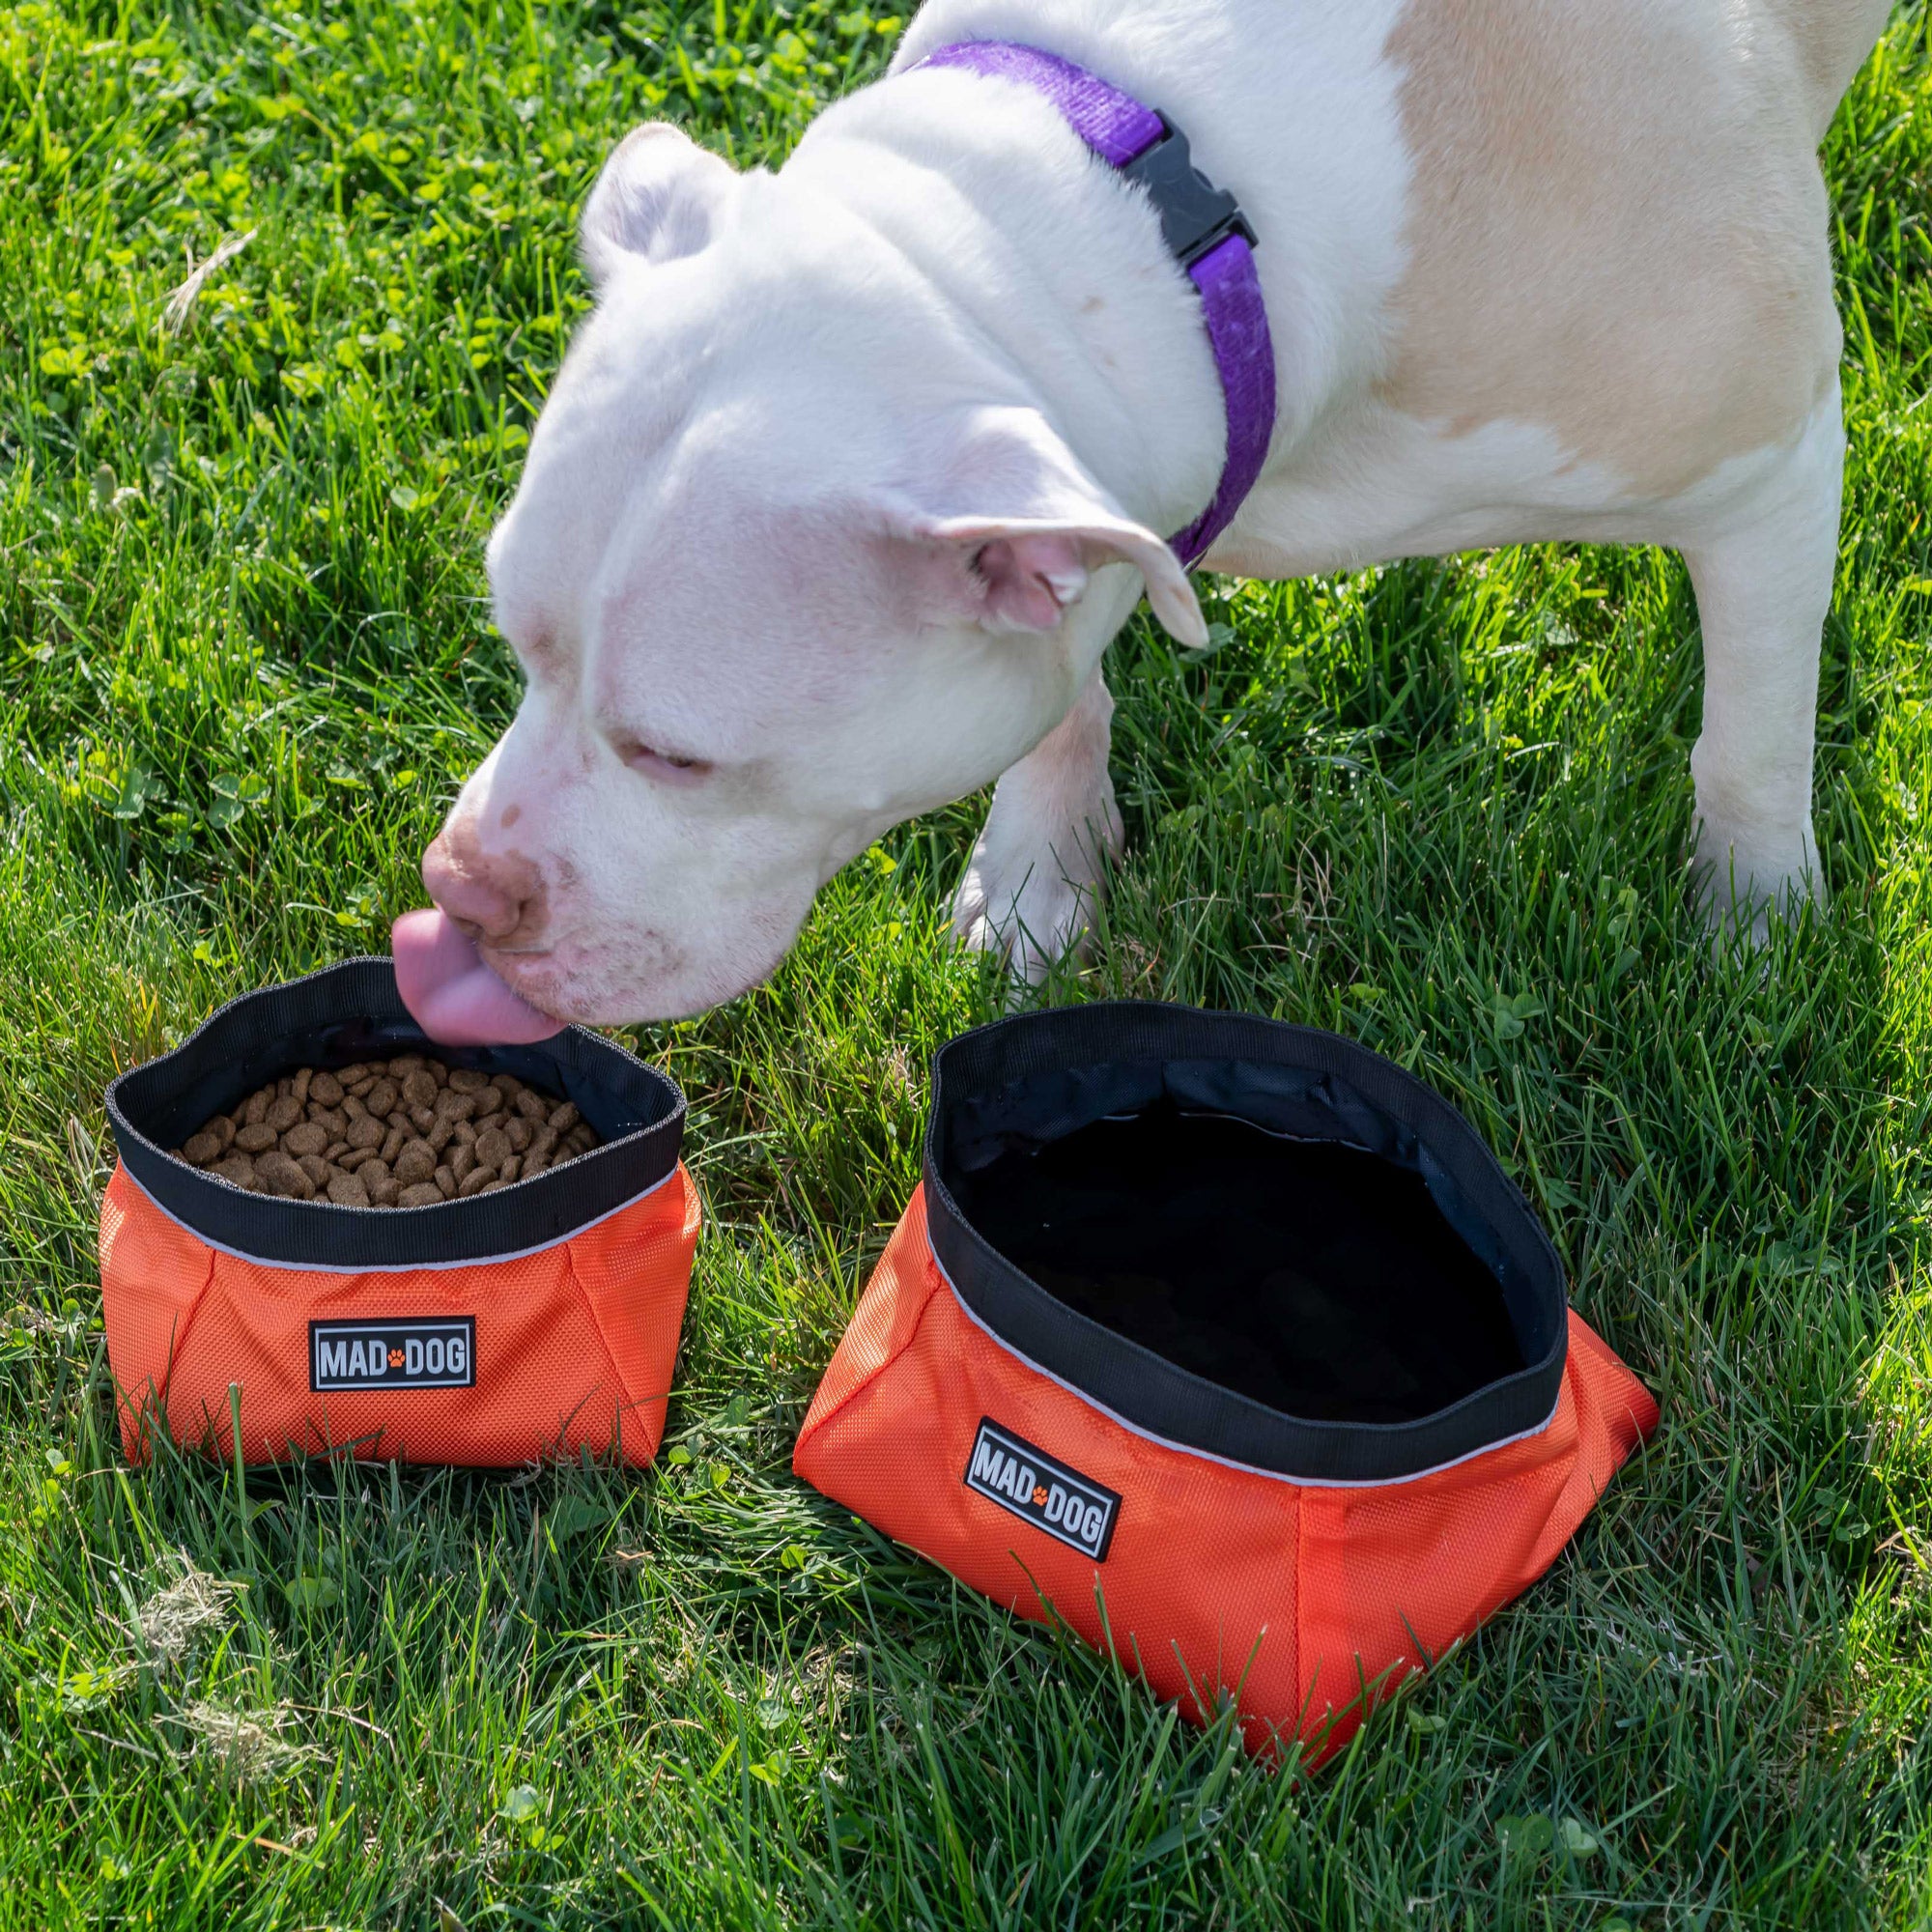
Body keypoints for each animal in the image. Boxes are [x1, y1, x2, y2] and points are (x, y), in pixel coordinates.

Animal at [400, 0, 1893, 1043]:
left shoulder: (1775, 459)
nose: (460, 887)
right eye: (518, 650)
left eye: (676, 757)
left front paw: (1754, 931)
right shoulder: (1083, 508)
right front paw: (1038, 880)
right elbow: (1063, 690)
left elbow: (1752, 738)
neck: (1158, 199)